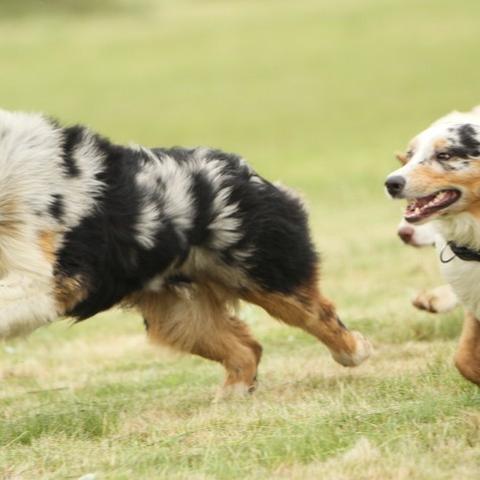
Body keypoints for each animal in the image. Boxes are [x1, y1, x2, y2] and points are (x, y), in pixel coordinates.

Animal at [0, 109, 372, 398]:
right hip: (181, 314)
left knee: (318, 314)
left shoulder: (47, 279)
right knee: (246, 347)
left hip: (265, 273)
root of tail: (242, 169)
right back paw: (233, 395)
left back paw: (355, 352)